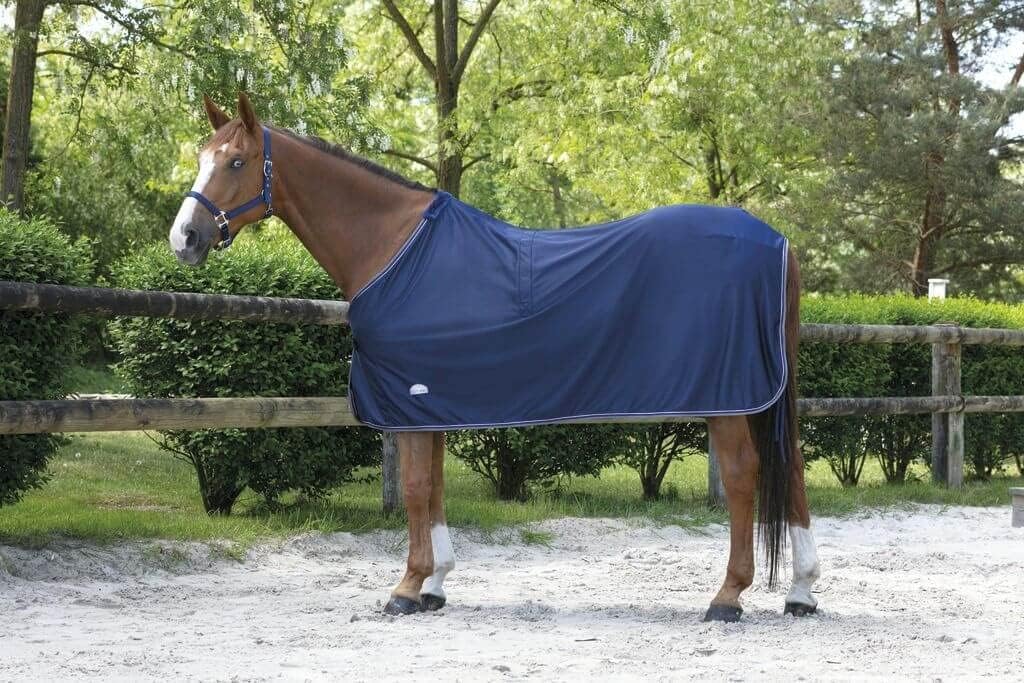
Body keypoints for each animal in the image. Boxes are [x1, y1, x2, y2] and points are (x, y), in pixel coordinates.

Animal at [168, 93, 821, 622]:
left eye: (235, 161)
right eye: (203, 156)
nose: (185, 238)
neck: (393, 247)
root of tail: (777, 242)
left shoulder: (409, 399)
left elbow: (413, 488)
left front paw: (405, 588)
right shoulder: (428, 401)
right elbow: (432, 486)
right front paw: (433, 584)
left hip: (729, 396)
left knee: (743, 477)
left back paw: (727, 597)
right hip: (763, 394)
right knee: (791, 469)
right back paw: (802, 593)